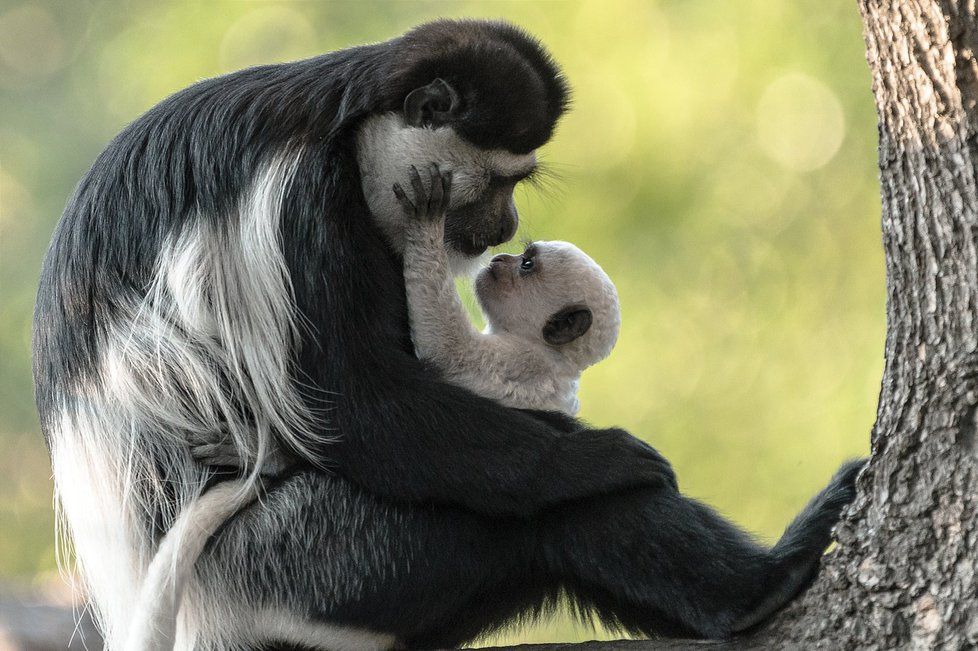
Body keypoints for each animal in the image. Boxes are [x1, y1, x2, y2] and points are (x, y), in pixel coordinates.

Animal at [390, 166, 612, 416]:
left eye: (527, 264)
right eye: (522, 256)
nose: (499, 258)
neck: (557, 355)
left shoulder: (522, 360)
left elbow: (450, 350)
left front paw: (428, 219)